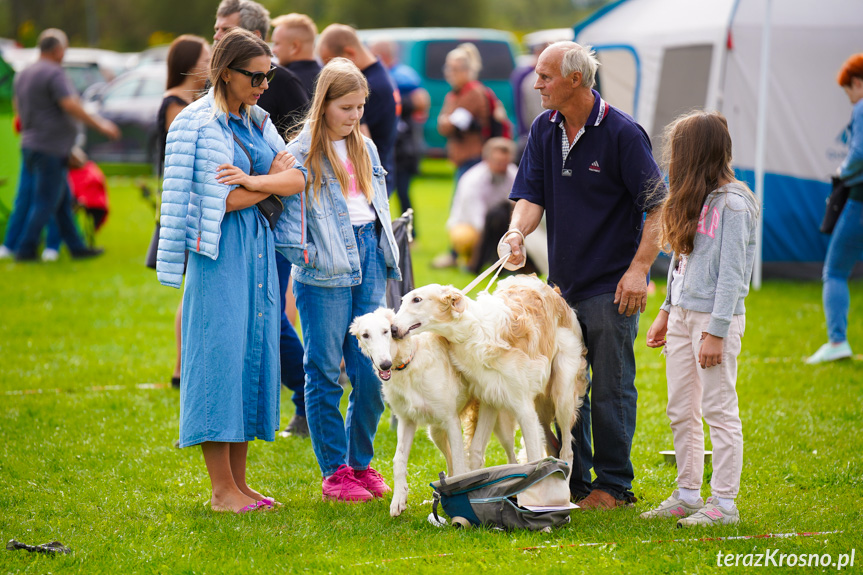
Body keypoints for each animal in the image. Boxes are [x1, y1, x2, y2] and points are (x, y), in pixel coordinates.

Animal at [350, 308, 516, 520]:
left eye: (386, 331)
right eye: (365, 335)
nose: (385, 365)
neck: (408, 362)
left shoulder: (451, 421)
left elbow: (461, 466)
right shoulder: (406, 420)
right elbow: (399, 460)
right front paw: (399, 500)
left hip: (501, 426)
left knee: (512, 458)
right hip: (436, 432)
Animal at [390, 276, 588, 474]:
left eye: (417, 300)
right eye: (402, 300)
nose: (392, 329)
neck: (475, 331)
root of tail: (554, 291)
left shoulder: (524, 409)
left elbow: (534, 459)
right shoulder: (490, 398)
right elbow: (476, 451)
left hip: (561, 396)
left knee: (567, 451)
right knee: (549, 446)